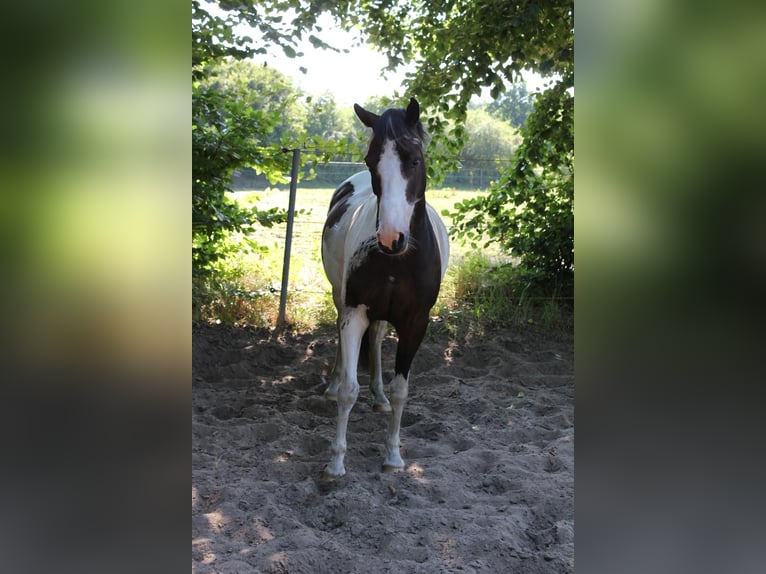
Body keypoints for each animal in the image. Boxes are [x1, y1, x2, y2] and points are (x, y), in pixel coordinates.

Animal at [320, 97, 450, 480]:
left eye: (415, 159)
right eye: (370, 160)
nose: (392, 238)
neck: (397, 261)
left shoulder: (415, 323)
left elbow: (400, 391)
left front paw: (393, 456)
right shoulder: (354, 313)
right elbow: (350, 390)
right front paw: (336, 462)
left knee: (377, 340)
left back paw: (377, 398)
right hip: (340, 300)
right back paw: (332, 385)